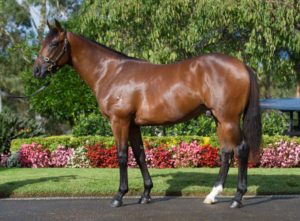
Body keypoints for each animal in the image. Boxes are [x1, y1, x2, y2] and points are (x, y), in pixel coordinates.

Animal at [33, 19, 260, 209]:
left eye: (54, 43)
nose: (37, 71)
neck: (110, 72)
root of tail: (242, 66)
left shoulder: (119, 121)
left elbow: (122, 155)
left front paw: (119, 196)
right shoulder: (133, 124)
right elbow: (140, 155)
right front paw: (146, 194)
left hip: (228, 119)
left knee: (241, 149)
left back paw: (238, 198)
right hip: (219, 120)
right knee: (226, 153)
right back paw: (212, 195)